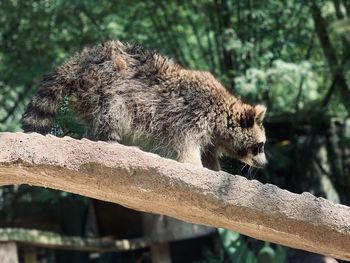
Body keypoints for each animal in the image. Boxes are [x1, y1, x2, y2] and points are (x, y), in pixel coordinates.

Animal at [21, 39, 266, 171]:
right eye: (260, 146)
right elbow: (187, 147)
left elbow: (209, 154)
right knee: (113, 113)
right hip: (105, 86)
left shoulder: (211, 135)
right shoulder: (191, 116)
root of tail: (82, 60)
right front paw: (195, 166)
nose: (265, 164)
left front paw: (213, 170)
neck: (221, 112)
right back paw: (110, 142)